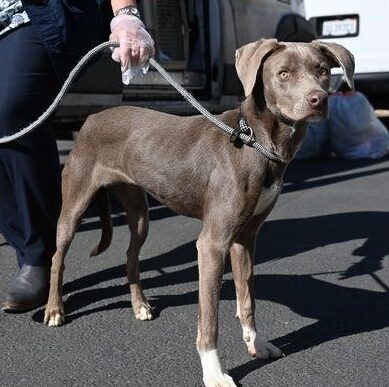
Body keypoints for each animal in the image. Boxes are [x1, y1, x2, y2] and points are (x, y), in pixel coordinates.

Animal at [44, 38, 352, 386]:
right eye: (283, 74)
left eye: (323, 71)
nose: (318, 100)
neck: (255, 140)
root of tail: (92, 118)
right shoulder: (212, 244)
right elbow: (210, 320)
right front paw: (215, 373)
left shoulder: (245, 238)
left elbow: (248, 299)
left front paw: (256, 343)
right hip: (74, 206)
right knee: (57, 258)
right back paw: (54, 310)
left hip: (140, 214)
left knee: (131, 257)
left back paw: (139, 306)